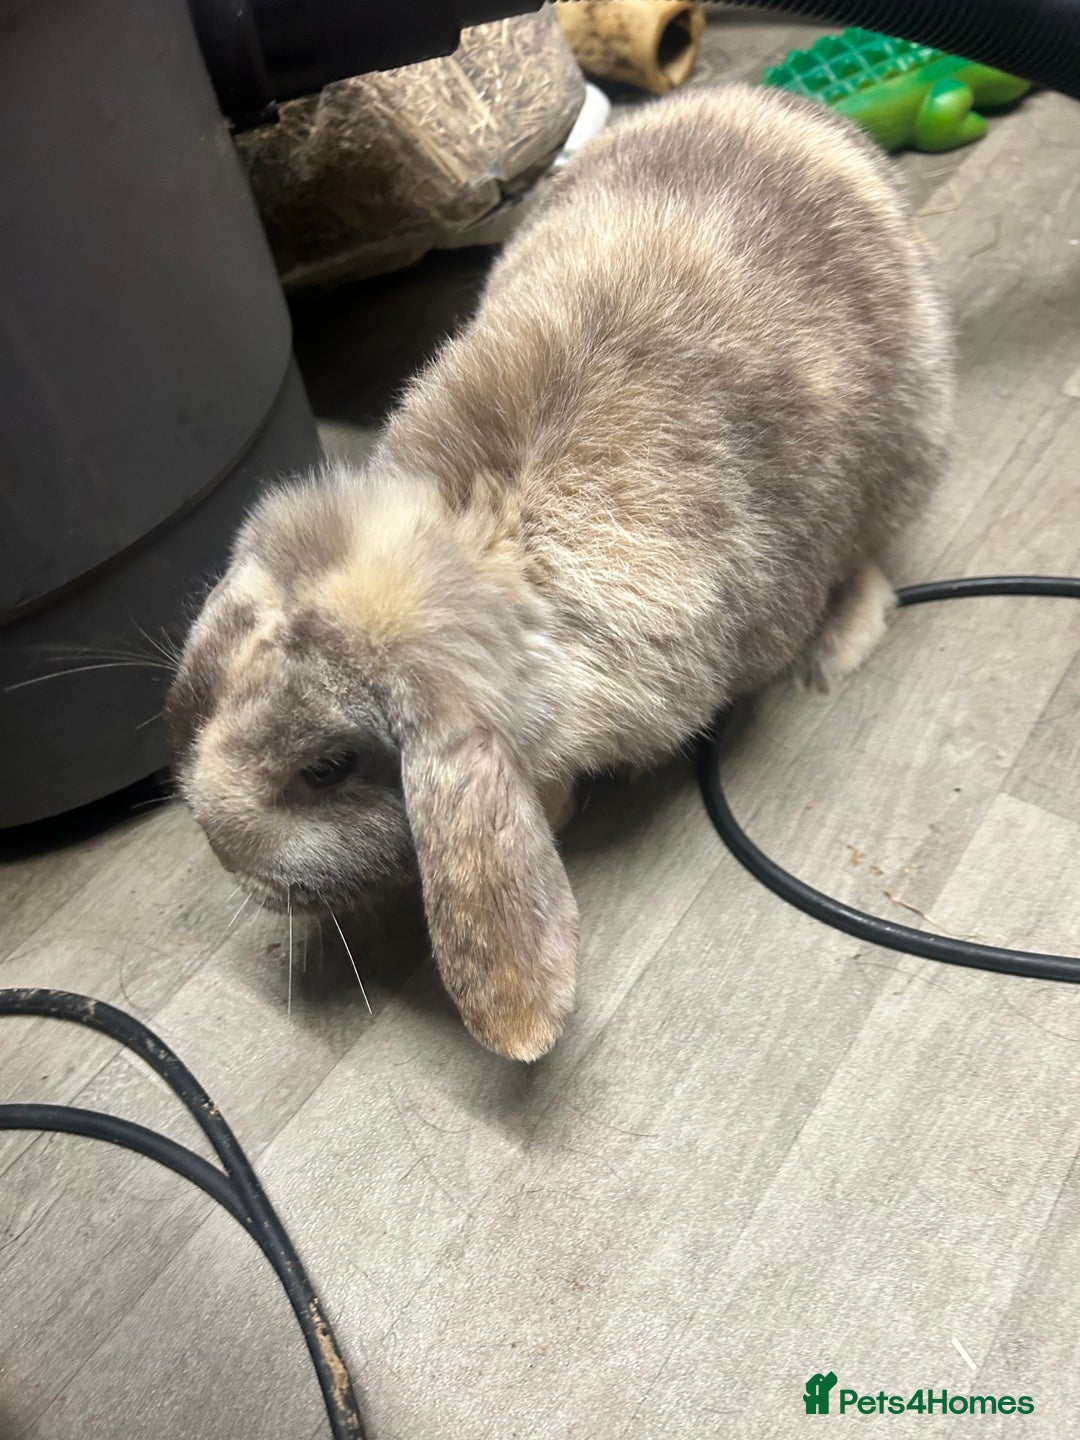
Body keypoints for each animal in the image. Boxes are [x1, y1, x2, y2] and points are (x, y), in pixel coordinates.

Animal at [167, 84, 953, 1062]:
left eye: (327, 769)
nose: (226, 858)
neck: (490, 550)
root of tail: (794, 112)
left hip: (911, 443)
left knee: (871, 555)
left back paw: (836, 647)